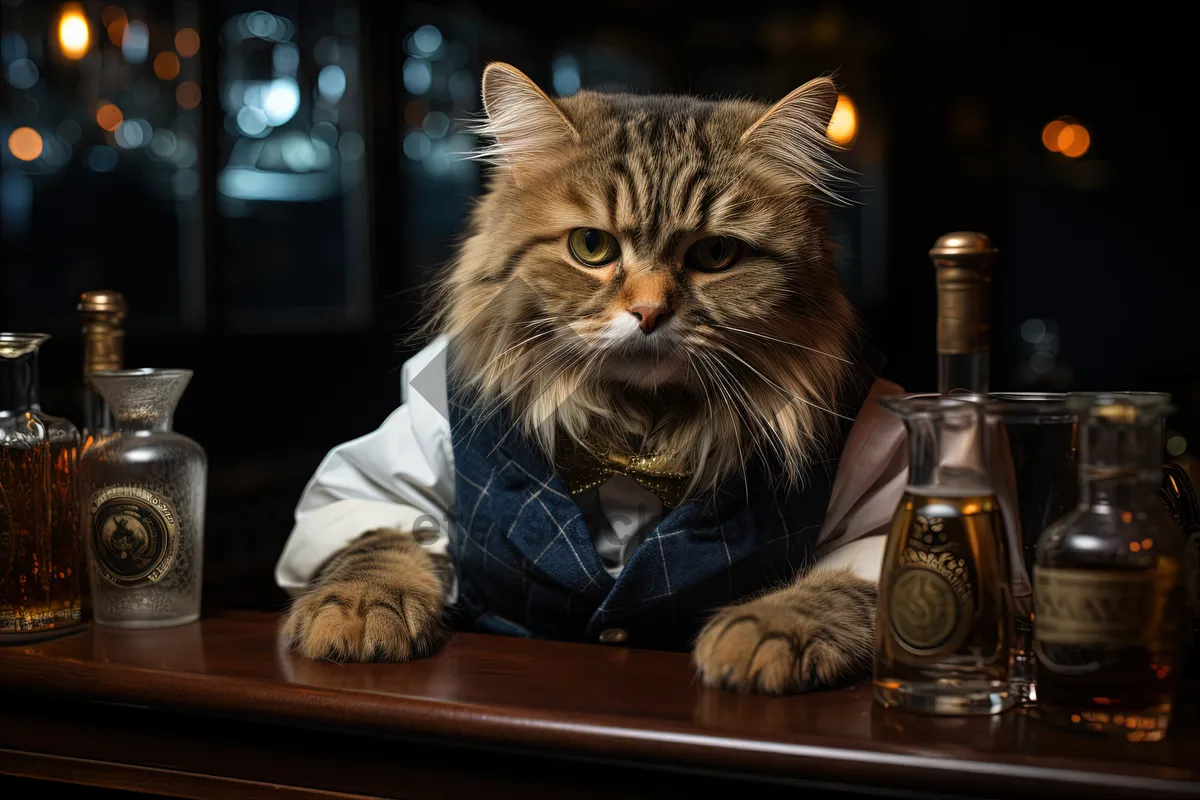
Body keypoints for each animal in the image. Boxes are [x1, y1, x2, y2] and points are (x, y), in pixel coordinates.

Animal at [280, 62, 897, 695]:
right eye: (592, 246)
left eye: (716, 255)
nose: (649, 313)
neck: (638, 423)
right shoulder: (387, 476)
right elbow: (380, 543)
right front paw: (360, 609)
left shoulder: (879, 496)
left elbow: (850, 588)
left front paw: (770, 630)